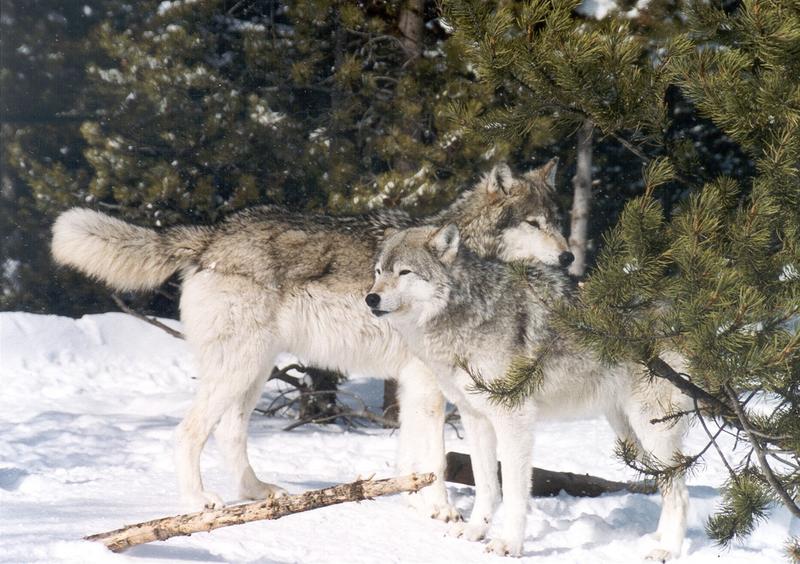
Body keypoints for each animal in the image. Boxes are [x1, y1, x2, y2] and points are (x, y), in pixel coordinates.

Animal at [51, 159, 576, 520]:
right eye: (533, 223)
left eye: (558, 220)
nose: (570, 257)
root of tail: (214, 234)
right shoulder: (427, 386)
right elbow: (435, 459)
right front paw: (441, 512)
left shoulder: (412, 386)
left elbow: (411, 455)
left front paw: (411, 504)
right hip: (238, 368)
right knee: (188, 432)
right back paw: (199, 502)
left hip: (253, 371)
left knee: (230, 432)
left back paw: (259, 494)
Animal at [366, 225, 692, 560]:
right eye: (378, 272)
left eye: (404, 272)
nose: (370, 298)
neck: (469, 312)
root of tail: (681, 308)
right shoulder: (475, 417)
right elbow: (486, 484)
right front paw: (475, 531)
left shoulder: (513, 418)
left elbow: (512, 491)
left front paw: (508, 544)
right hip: (630, 436)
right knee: (666, 485)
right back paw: (657, 539)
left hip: (651, 429)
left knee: (681, 492)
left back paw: (668, 550)